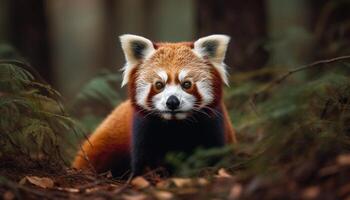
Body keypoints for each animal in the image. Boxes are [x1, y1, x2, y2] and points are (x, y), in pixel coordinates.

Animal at [74, 34, 238, 177]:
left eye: (187, 84)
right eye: (159, 85)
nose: (172, 102)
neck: (176, 126)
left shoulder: (213, 123)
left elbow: (213, 153)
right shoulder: (143, 128)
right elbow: (144, 160)